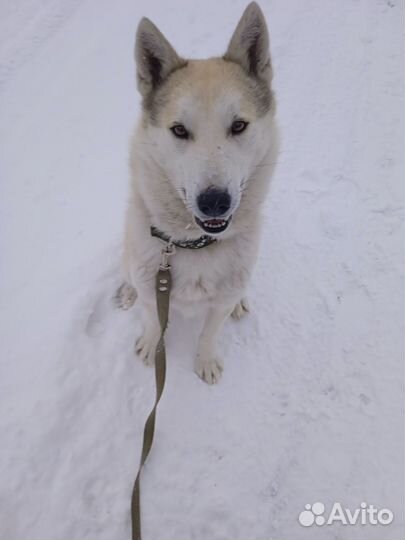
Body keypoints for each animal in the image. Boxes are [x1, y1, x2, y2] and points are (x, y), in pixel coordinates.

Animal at [117, 2, 278, 386]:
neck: (193, 245)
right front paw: (151, 343)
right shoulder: (153, 290)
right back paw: (127, 291)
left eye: (239, 125)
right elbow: (152, 319)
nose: (214, 201)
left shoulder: (218, 303)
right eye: (179, 130)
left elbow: (208, 333)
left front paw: (205, 361)